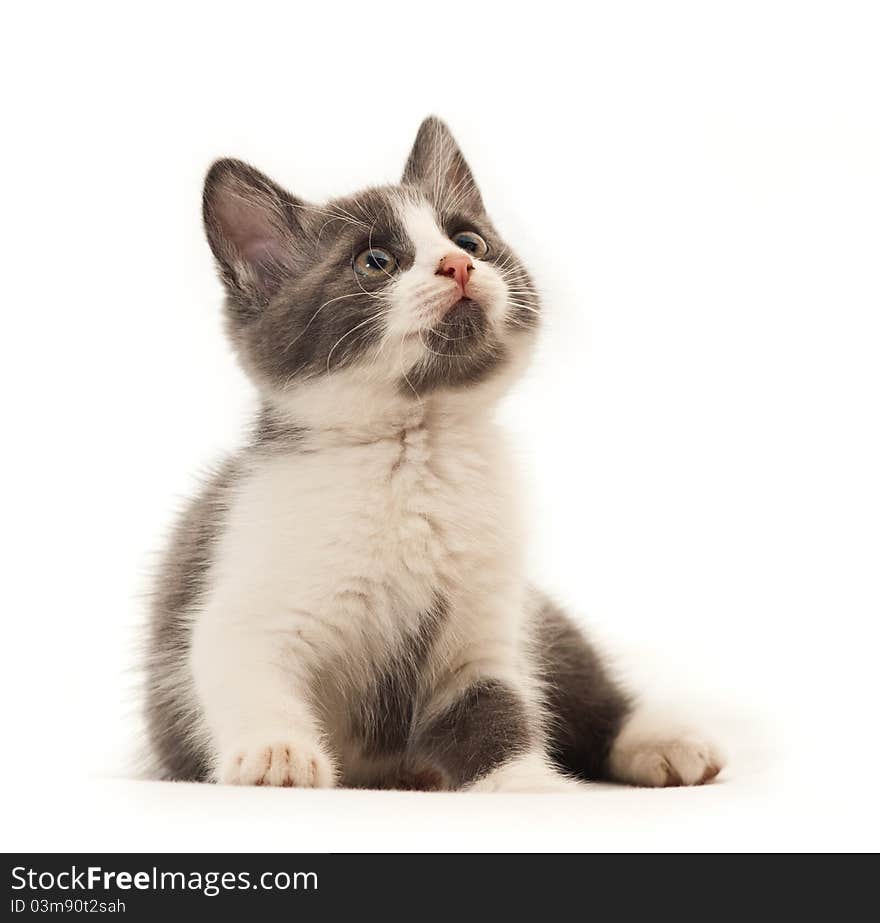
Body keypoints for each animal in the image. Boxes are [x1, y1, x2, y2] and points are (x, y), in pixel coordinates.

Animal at [143, 117, 720, 796]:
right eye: (375, 262)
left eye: (470, 239)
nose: (458, 264)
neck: (415, 450)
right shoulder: (243, 594)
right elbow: (242, 667)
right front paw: (276, 752)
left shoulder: (486, 624)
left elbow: (496, 707)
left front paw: (529, 785)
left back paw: (663, 742)